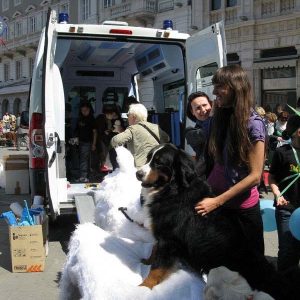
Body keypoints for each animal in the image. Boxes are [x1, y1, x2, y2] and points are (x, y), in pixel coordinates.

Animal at [136, 143, 300, 300]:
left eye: (159, 162)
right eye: (148, 158)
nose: (138, 173)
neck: (173, 190)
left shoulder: (169, 239)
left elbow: (157, 268)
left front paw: (144, 287)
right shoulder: (162, 234)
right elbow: (154, 251)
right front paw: (146, 261)